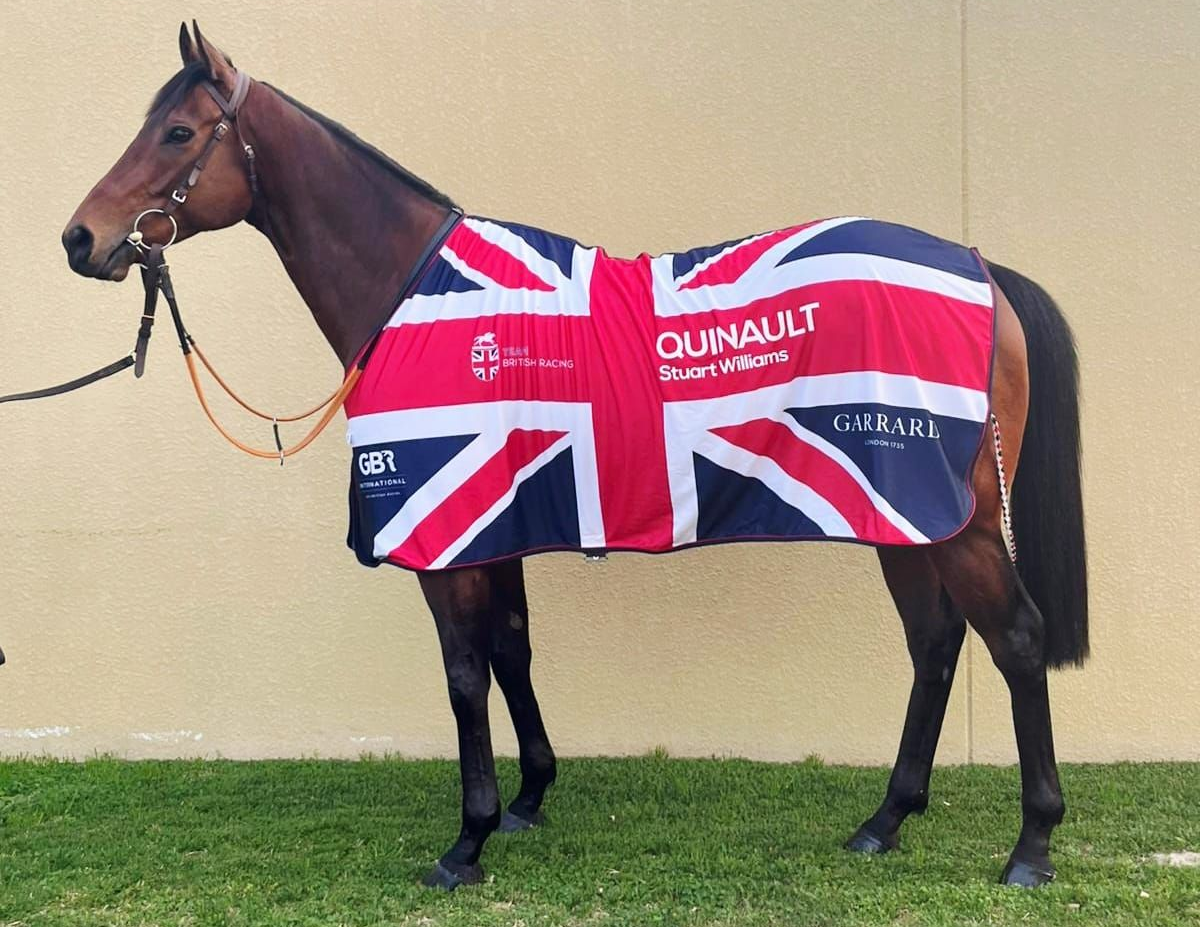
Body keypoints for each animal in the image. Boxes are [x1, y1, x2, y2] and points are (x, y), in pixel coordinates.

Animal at [61, 23, 1087, 891]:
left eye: (178, 131)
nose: (81, 238)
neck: (413, 290)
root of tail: (980, 267)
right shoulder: (497, 525)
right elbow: (513, 650)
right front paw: (527, 798)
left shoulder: (445, 532)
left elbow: (465, 674)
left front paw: (466, 841)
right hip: (902, 516)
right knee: (936, 643)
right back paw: (886, 820)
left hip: (951, 520)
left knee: (1015, 637)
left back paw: (1031, 845)